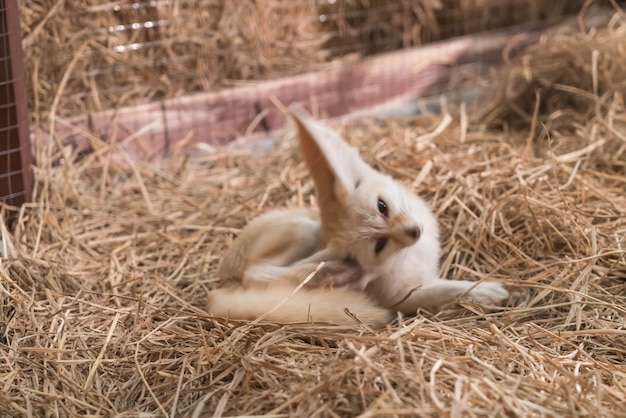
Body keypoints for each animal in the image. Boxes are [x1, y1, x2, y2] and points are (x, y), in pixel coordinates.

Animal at [206, 105, 520, 326]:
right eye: (379, 246)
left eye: (383, 207)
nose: (415, 232)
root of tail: (221, 284)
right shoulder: (404, 296)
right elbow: (447, 290)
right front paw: (485, 292)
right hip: (301, 230)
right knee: (258, 274)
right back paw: (330, 274)